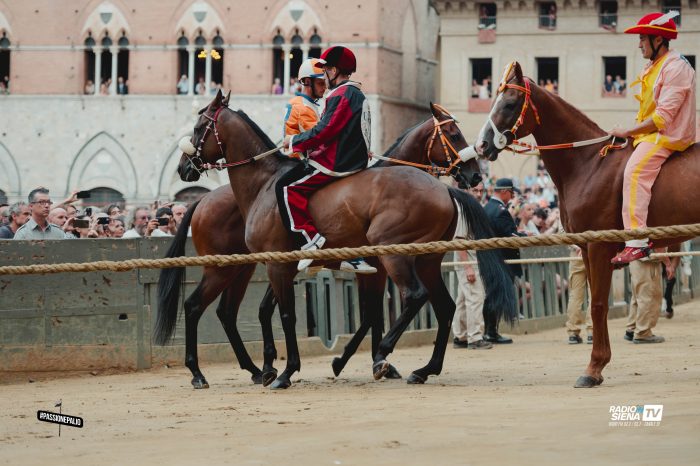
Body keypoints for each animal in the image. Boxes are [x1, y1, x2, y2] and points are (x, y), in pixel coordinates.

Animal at [172, 91, 516, 390]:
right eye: (454, 134)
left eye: (198, 127)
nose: (183, 167)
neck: (265, 183)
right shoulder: (286, 266)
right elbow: (298, 313)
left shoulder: (286, 266)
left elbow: (295, 314)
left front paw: (290, 370)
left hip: (395, 255)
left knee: (419, 298)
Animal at [474, 61, 696, 390]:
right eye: (493, 100)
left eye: (510, 103)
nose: (482, 145)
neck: (590, 163)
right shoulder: (587, 248)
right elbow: (594, 303)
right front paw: (598, 364)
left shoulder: (598, 246)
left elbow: (598, 305)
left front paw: (593, 367)